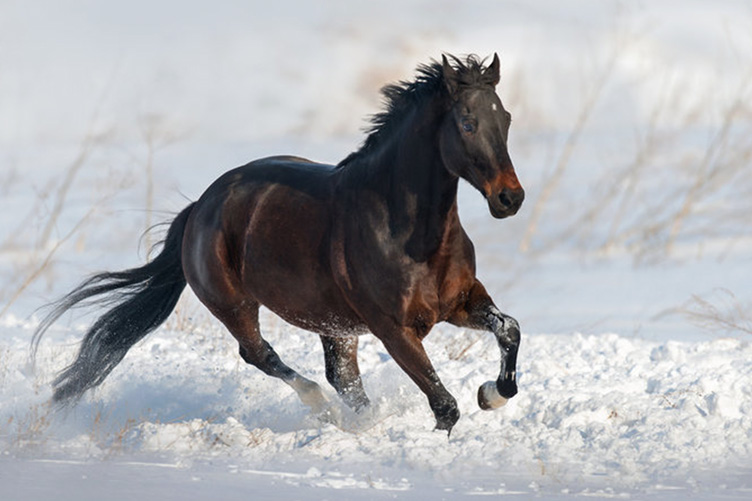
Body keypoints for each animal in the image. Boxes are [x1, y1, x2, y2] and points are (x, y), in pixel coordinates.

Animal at [33, 54, 525, 434]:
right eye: (467, 123)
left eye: (505, 119)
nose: (510, 198)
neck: (411, 235)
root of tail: (201, 206)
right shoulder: (394, 329)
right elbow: (444, 405)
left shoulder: (461, 302)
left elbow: (509, 329)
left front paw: (490, 395)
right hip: (234, 304)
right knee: (261, 354)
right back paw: (321, 408)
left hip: (335, 325)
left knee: (342, 378)